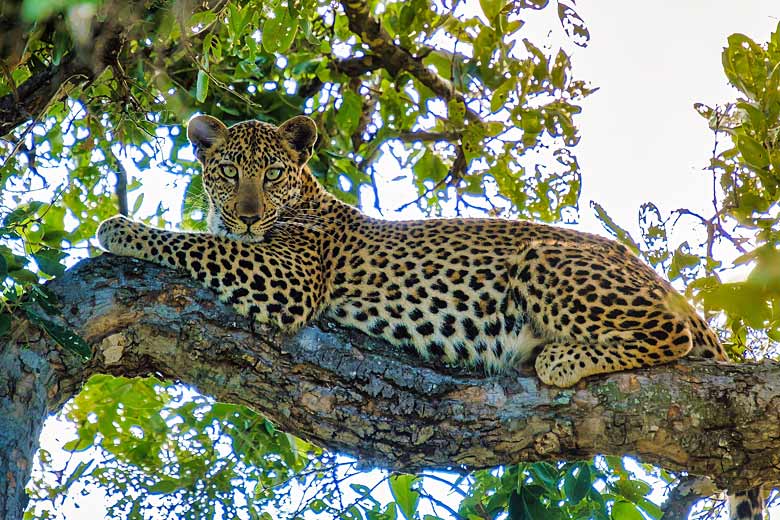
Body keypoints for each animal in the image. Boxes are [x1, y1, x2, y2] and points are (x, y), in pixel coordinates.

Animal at [96, 115, 760, 520]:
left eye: (274, 173)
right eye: (229, 172)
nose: (249, 214)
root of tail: (663, 281)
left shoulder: (288, 275)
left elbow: (196, 243)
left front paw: (120, 229)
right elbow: (206, 239)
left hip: (548, 257)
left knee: (671, 334)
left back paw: (560, 357)